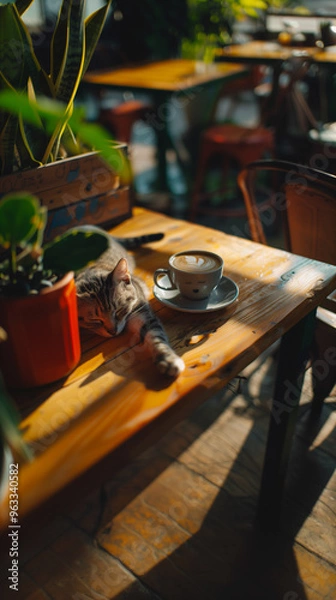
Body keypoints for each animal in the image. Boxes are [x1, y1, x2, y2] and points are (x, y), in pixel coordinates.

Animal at [75, 225, 185, 376]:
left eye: (119, 310)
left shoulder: (142, 312)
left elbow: (156, 337)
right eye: (95, 320)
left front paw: (168, 359)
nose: (113, 331)